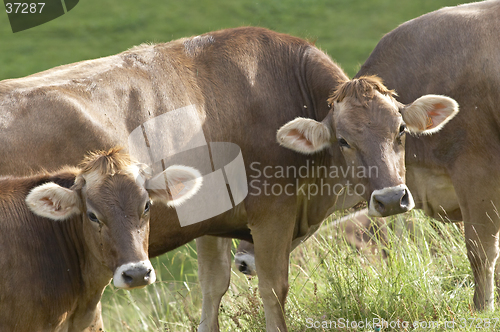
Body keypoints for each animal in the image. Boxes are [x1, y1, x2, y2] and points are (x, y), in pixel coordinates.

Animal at [356, 0, 500, 312]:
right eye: (343, 140)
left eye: (400, 129)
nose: (389, 198)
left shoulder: (478, 171)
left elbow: (480, 250)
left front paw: (483, 309)